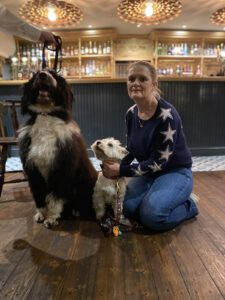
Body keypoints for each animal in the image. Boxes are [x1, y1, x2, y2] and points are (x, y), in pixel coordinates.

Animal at [18, 69, 97, 227]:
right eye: (35, 74)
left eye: (54, 74)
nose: (42, 75)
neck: (45, 115)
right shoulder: (33, 171)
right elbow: (40, 196)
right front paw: (42, 214)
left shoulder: (61, 169)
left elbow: (55, 198)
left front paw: (51, 218)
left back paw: (76, 212)